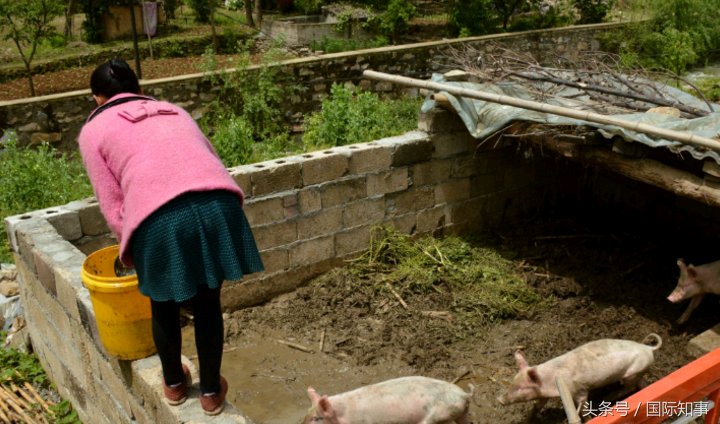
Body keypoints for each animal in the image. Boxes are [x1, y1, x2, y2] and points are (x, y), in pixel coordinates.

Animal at [498, 332, 660, 420]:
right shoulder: (544, 394)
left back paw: (606, 398)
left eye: (522, 387)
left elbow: (583, 408)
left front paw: (589, 418)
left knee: (628, 387)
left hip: (631, 373)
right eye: (513, 383)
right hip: (638, 372)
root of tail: (648, 348)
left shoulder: (580, 390)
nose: (499, 399)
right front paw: (529, 418)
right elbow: (538, 405)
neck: (550, 380)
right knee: (641, 383)